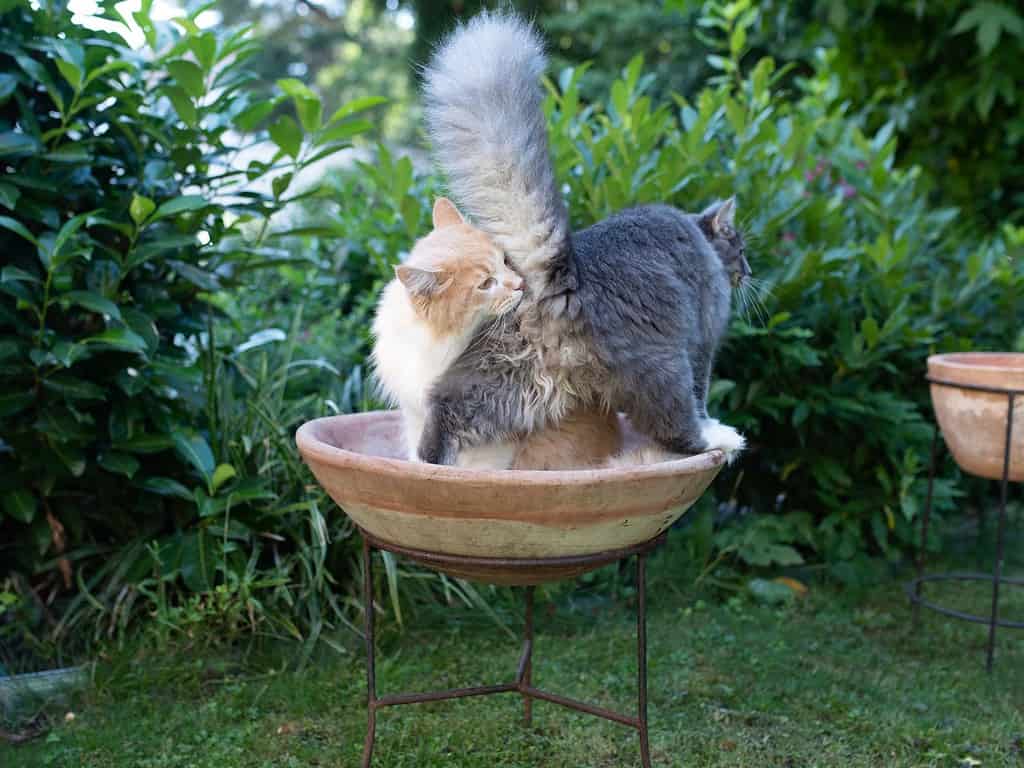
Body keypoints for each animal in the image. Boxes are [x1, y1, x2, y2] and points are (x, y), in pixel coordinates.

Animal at [415, 12, 753, 466]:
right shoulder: (704, 342)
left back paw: (430, 467)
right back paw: (720, 440)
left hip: (507, 382)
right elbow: (702, 397)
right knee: (677, 427)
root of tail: (562, 273)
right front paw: (712, 423)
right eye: (741, 249)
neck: (695, 232)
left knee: (446, 408)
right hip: (665, 365)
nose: (748, 269)